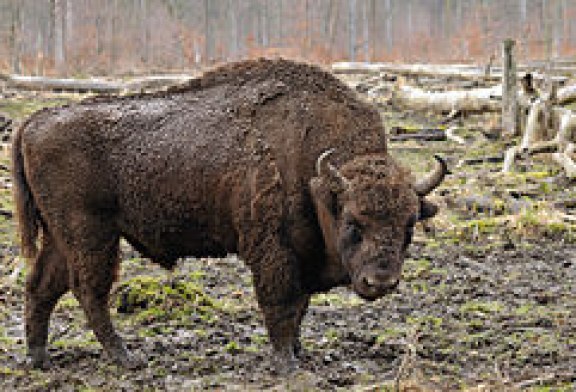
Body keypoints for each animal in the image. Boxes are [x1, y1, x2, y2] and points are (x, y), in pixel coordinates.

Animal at [12, 58, 446, 370]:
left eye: (410, 225)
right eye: (353, 221)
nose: (381, 281)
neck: (316, 177)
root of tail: (35, 120)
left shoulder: (302, 255)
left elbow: (300, 306)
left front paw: (299, 352)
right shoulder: (272, 251)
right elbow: (281, 303)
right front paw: (286, 363)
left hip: (60, 236)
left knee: (41, 286)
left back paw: (39, 358)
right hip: (92, 235)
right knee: (89, 290)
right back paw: (126, 358)